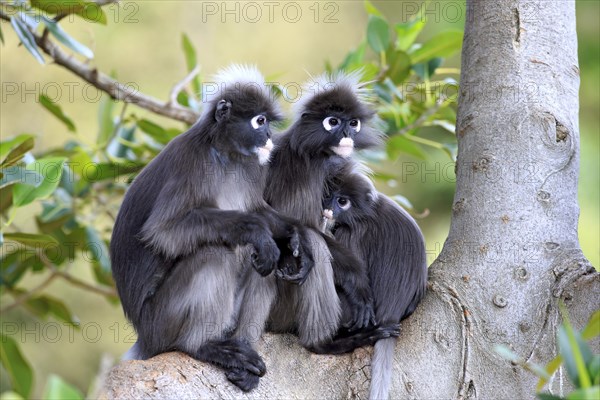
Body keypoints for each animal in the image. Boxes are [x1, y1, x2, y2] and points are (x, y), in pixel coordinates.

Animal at [318, 163, 426, 400]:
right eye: (329, 196)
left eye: (342, 201)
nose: (329, 209)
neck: (367, 211)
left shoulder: (357, 231)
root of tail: (391, 313)